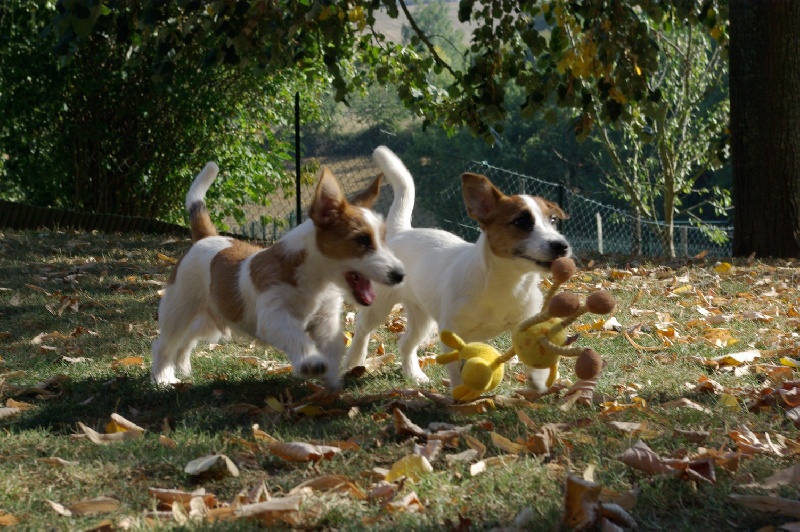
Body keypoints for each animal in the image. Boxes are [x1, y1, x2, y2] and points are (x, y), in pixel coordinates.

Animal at [151, 160, 406, 388]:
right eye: (362, 240)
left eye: (383, 239)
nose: (401, 275)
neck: (315, 283)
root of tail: (206, 237)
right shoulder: (275, 317)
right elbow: (298, 336)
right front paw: (311, 361)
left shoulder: (326, 320)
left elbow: (334, 347)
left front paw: (331, 379)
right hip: (178, 311)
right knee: (164, 344)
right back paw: (164, 377)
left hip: (213, 319)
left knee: (187, 339)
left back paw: (182, 365)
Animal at [344, 145, 568, 390]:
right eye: (521, 222)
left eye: (553, 221)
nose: (561, 246)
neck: (506, 284)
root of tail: (402, 231)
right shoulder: (451, 333)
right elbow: (457, 372)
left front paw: (542, 382)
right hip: (380, 306)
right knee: (362, 329)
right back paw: (354, 362)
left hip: (423, 317)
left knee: (405, 342)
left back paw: (414, 375)